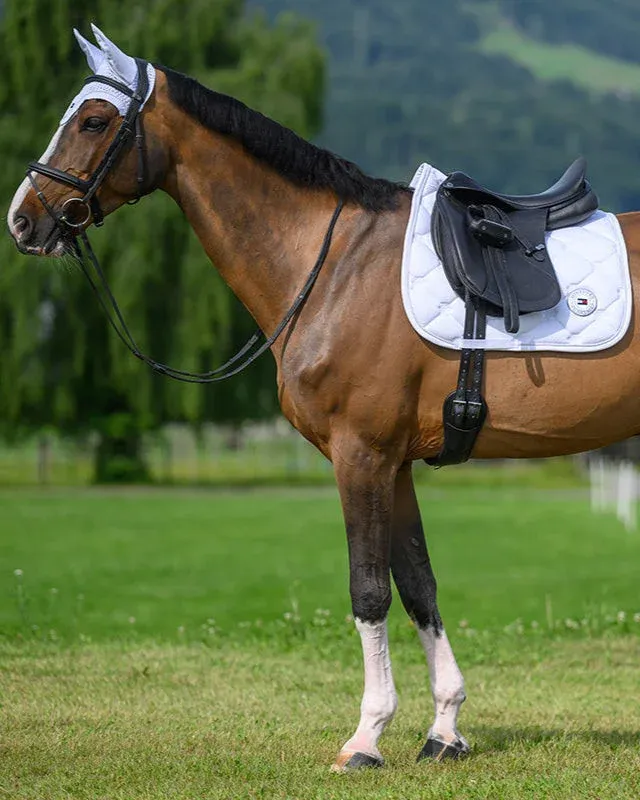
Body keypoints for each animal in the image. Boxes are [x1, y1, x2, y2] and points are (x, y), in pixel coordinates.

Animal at [8, 26, 640, 771]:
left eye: (93, 121)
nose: (22, 220)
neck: (335, 264)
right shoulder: (395, 464)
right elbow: (418, 585)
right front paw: (444, 729)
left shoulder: (359, 454)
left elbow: (368, 589)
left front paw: (366, 737)